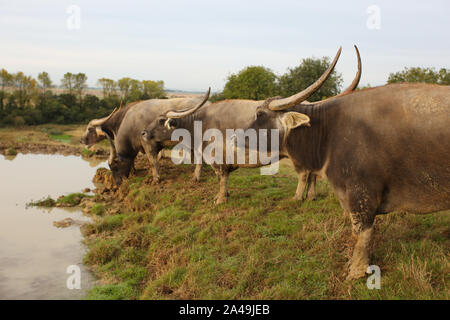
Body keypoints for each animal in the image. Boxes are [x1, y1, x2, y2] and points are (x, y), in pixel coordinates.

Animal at [142, 46, 360, 204]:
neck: (201, 124)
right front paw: (225, 195)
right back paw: (311, 196)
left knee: (305, 173)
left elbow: (222, 179)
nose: (144, 133)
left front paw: (220, 199)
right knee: (312, 174)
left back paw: (300, 198)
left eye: (161, 121)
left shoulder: (218, 161)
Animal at [246, 72, 450, 278]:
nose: (240, 135)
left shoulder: (362, 195)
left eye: (260, 114)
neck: (328, 131)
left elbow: (361, 234)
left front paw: (356, 271)